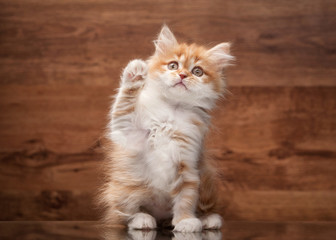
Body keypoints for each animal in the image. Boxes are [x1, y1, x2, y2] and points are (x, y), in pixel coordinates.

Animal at [98, 24, 232, 232]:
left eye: (198, 71)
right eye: (173, 66)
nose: (182, 75)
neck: (171, 112)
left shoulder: (187, 164)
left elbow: (186, 196)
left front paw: (185, 221)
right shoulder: (127, 131)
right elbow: (124, 103)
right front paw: (135, 73)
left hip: (206, 179)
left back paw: (208, 220)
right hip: (121, 187)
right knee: (125, 214)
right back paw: (142, 220)